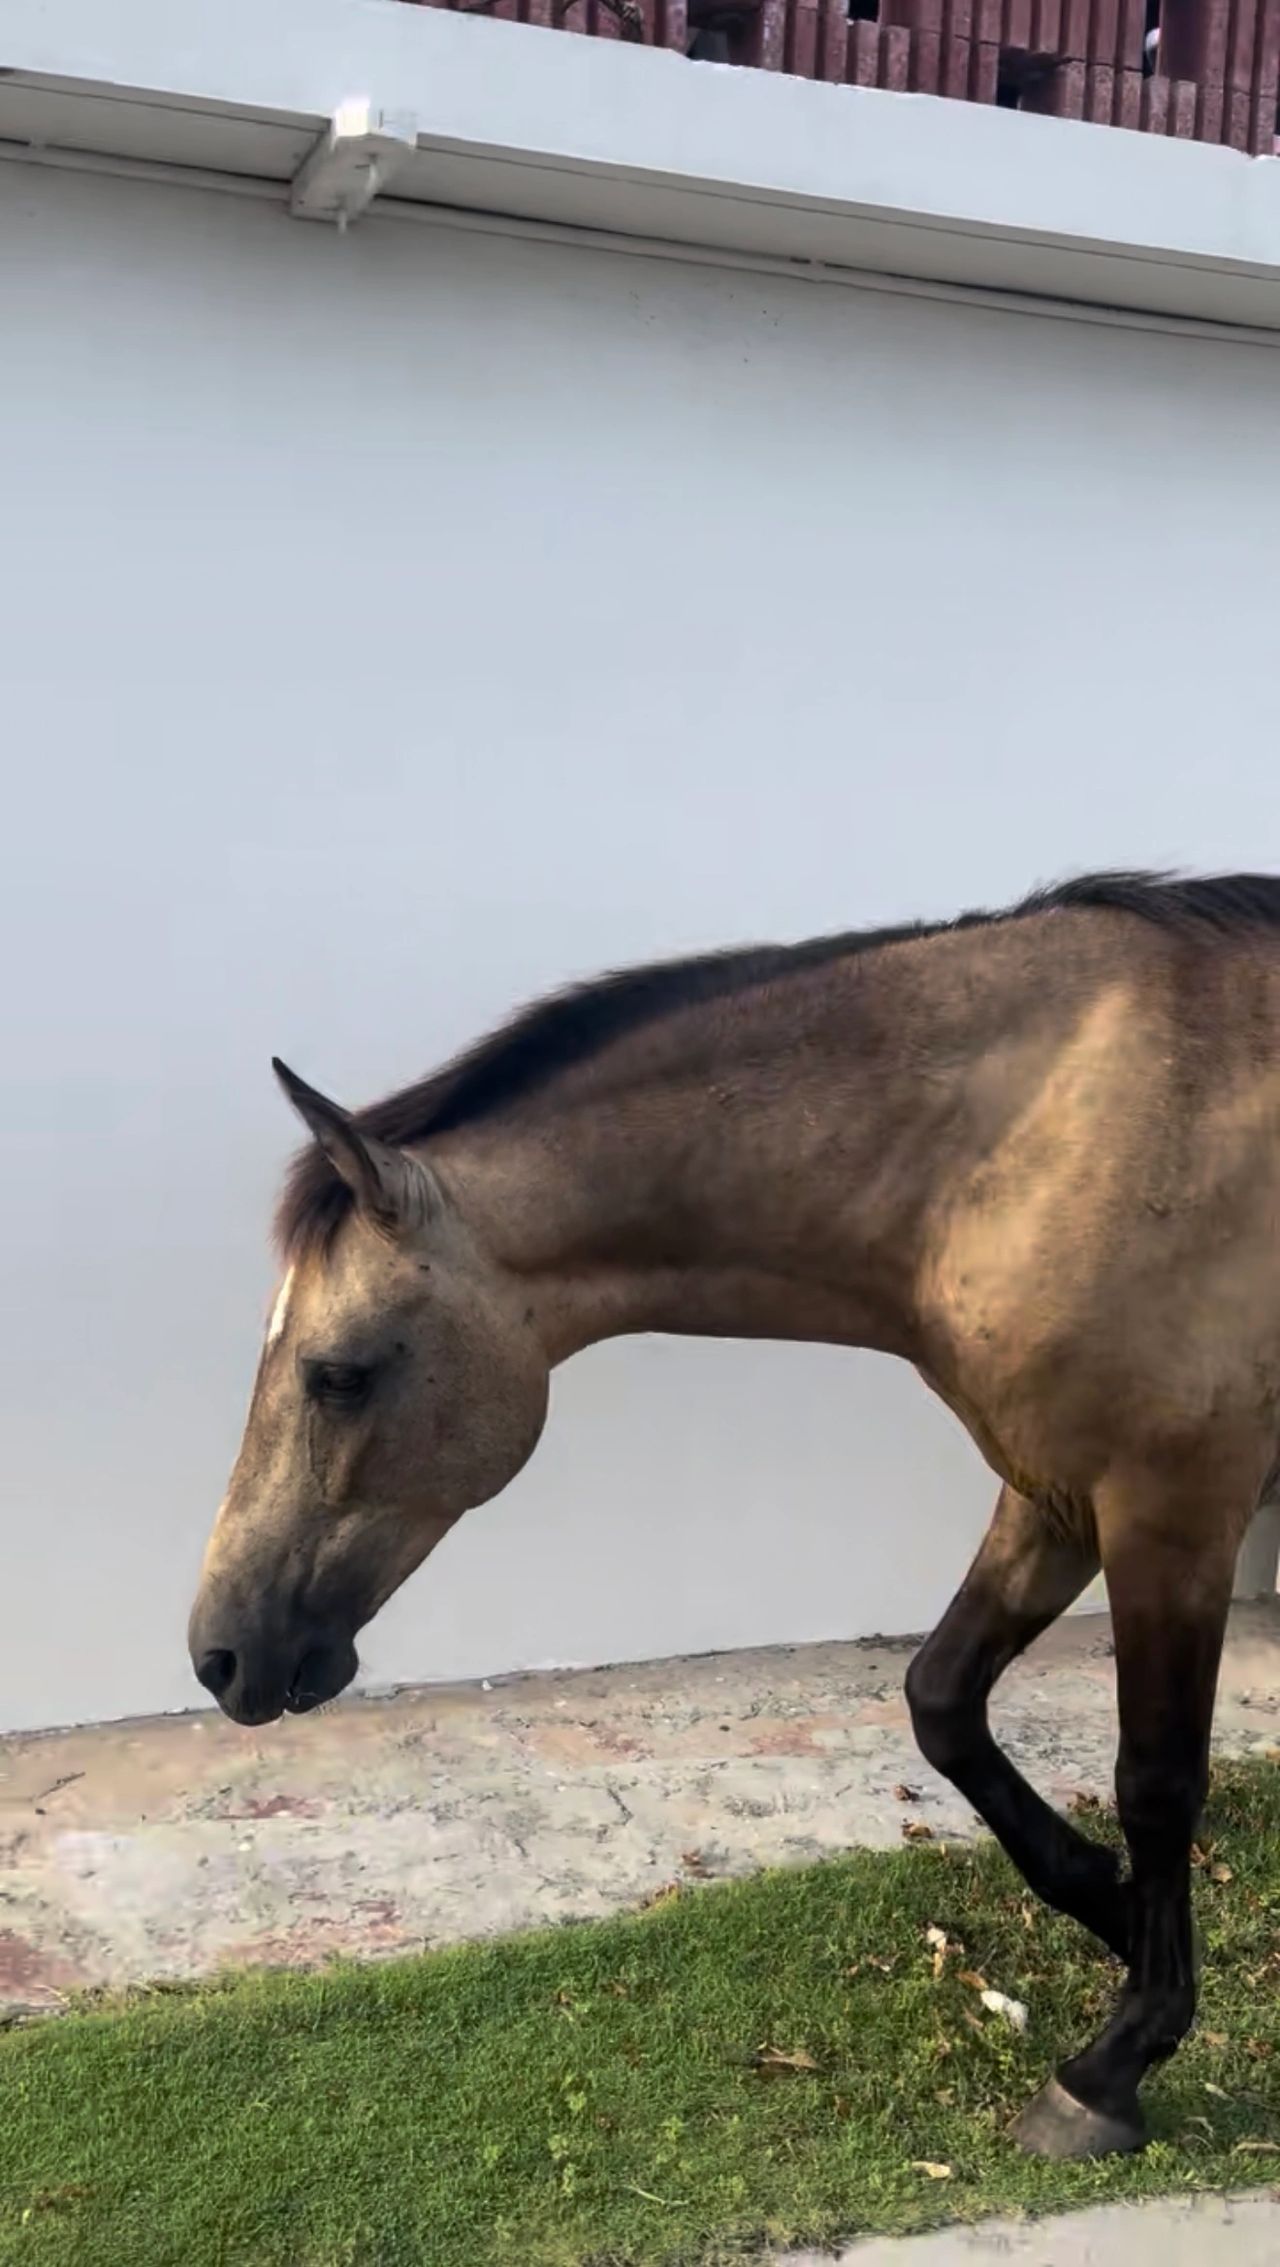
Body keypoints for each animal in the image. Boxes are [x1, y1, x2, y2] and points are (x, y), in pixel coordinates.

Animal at [189, 869, 1280, 2160]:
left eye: (338, 1372)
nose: (222, 1652)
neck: (1050, 1131)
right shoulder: (1051, 1493)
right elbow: (941, 1700)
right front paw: (1111, 1909)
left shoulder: (1170, 1505)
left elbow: (1154, 1778)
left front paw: (1111, 2064)